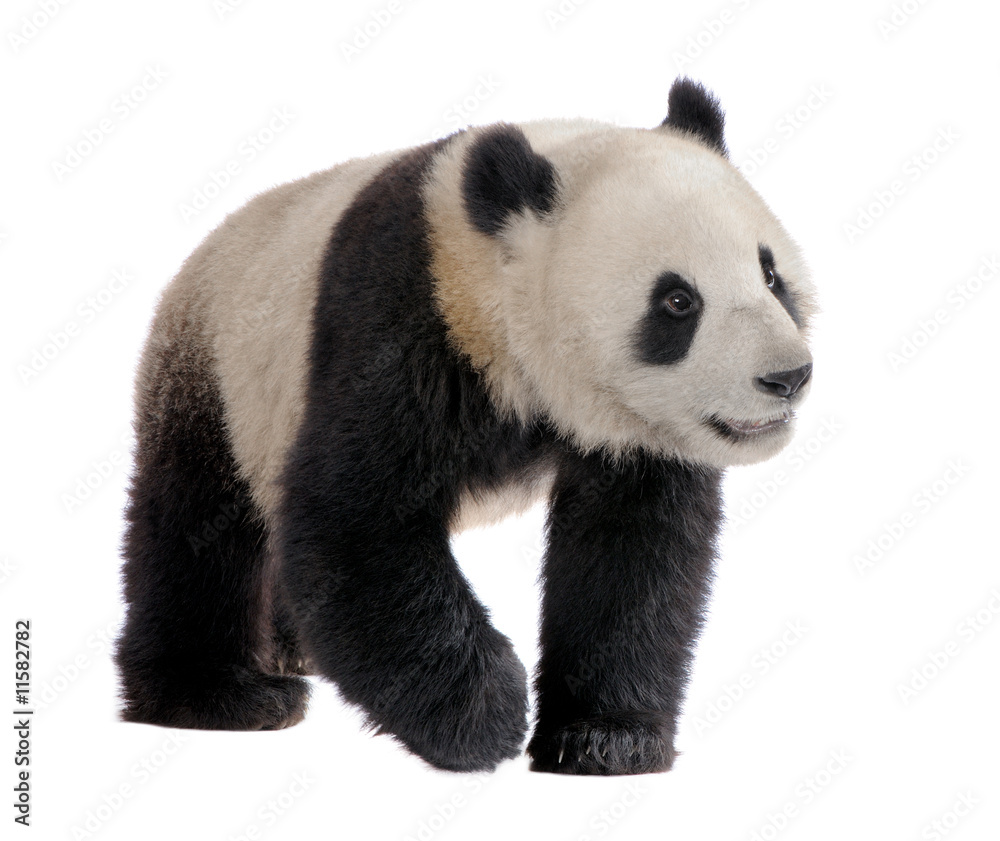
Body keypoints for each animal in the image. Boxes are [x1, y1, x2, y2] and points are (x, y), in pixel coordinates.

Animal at [115, 78, 814, 776]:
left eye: (770, 275)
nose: (788, 376)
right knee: (198, 528)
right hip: (222, 375)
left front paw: (605, 737)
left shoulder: (636, 429)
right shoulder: (401, 324)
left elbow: (632, 551)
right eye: (677, 301)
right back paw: (224, 695)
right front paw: (483, 718)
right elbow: (353, 522)